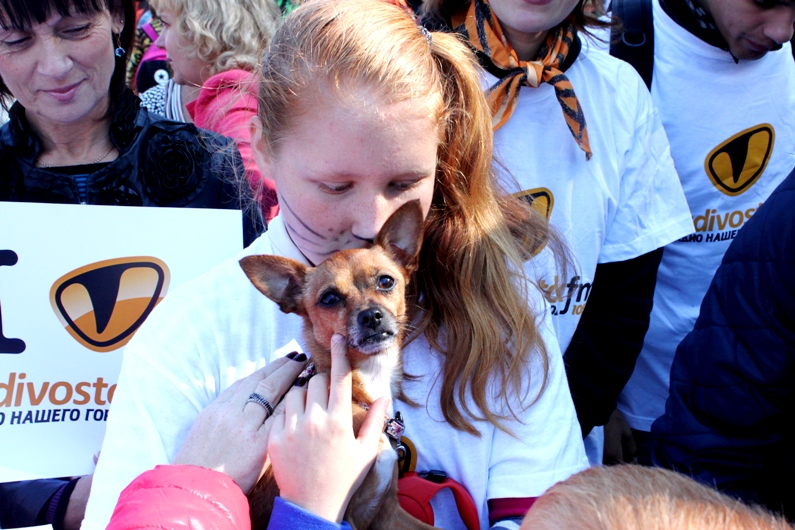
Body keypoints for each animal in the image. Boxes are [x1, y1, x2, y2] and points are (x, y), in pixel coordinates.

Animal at [238, 199, 436, 528]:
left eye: (386, 281)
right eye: (329, 299)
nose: (371, 316)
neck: (362, 389)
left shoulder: (388, 512)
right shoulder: (353, 516)